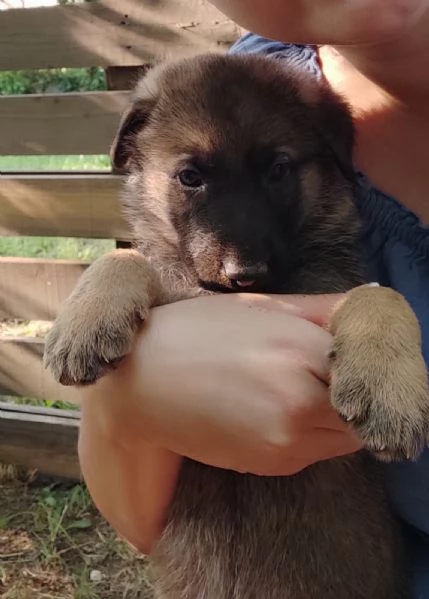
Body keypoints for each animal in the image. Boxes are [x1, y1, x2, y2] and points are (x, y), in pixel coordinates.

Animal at [44, 54, 428, 596]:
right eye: (189, 176)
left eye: (278, 170)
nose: (244, 274)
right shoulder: (179, 287)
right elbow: (125, 259)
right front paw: (84, 320)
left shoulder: (336, 283)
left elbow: (381, 295)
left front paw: (389, 387)